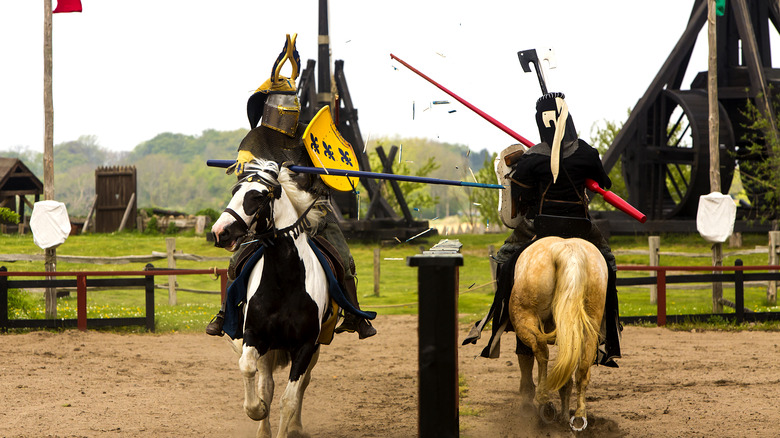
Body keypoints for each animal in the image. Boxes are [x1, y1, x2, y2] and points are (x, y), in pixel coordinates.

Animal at [209, 160, 328, 438]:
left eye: (258, 197)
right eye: (235, 191)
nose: (219, 232)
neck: (285, 281)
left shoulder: (306, 346)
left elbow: (290, 399)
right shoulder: (255, 335)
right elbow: (249, 370)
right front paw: (258, 410)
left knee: (302, 384)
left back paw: (296, 427)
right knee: (267, 383)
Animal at [508, 236, 612, 432]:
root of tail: (567, 250)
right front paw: (564, 416)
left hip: (525, 318)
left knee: (540, 350)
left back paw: (544, 401)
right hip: (588, 328)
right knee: (582, 370)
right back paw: (579, 416)